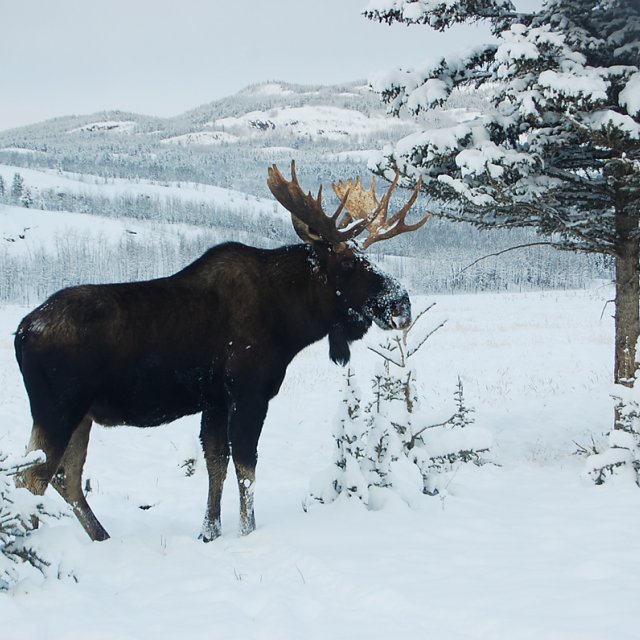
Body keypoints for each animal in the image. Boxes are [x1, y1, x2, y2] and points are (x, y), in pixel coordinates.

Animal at [15, 162, 428, 544]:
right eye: (348, 262)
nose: (402, 304)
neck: (290, 323)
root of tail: (21, 333)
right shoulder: (248, 393)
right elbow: (246, 467)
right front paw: (247, 532)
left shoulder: (213, 401)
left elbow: (217, 465)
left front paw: (209, 532)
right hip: (58, 409)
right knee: (31, 478)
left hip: (80, 415)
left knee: (63, 477)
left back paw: (101, 537)